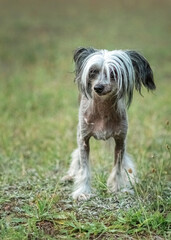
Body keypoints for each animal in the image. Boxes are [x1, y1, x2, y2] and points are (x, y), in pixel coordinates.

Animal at [62, 47, 155, 201]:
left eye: (114, 73)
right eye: (93, 71)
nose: (98, 87)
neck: (103, 109)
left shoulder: (120, 141)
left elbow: (118, 168)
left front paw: (118, 189)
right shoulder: (84, 140)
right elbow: (84, 168)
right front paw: (83, 191)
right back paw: (70, 175)